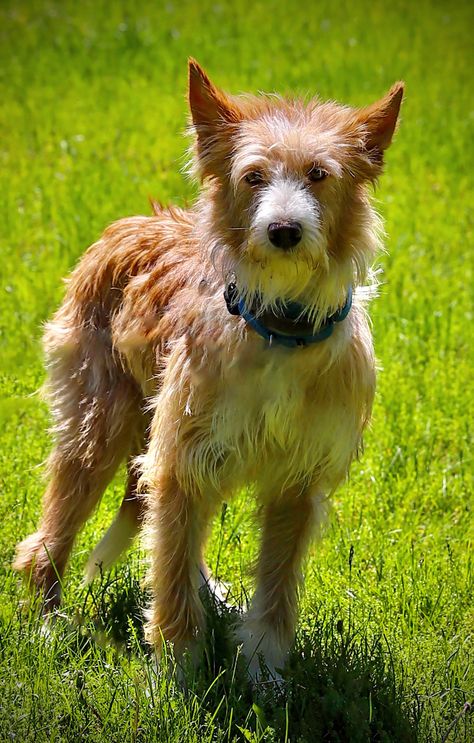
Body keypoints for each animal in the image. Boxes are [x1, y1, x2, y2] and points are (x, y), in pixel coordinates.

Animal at [12, 61, 402, 684]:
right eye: (253, 176)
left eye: (318, 174)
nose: (284, 230)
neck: (279, 327)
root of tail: (129, 223)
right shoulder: (182, 458)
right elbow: (168, 567)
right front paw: (178, 672)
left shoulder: (296, 479)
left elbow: (274, 583)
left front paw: (264, 671)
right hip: (98, 427)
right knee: (56, 536)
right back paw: (49, 622)